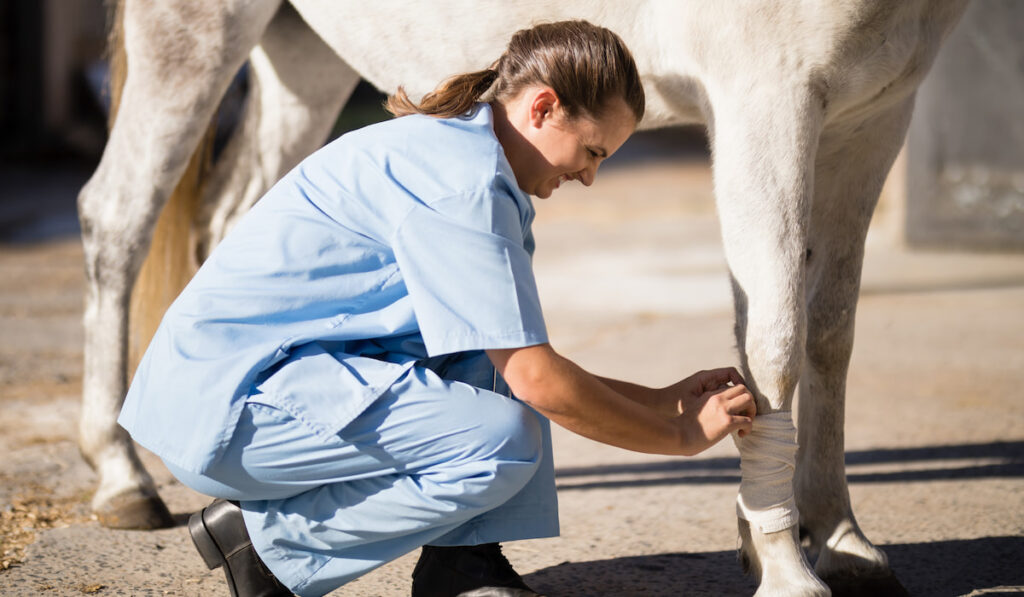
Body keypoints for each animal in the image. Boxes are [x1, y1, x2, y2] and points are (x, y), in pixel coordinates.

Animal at [75, 2, 962, 593]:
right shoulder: (766, 100)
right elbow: (774, 339)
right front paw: (783, 564)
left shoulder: (875, 115)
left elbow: (830, 331)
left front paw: (841, 538)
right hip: (191, 37)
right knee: (115, 216)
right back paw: (123, 476)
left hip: (302, 60)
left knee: (238, 217)